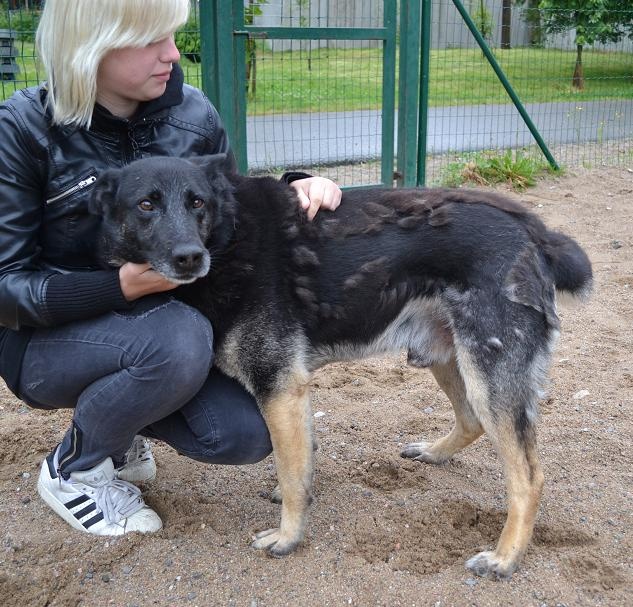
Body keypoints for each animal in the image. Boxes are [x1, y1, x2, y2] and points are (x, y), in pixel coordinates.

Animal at [89, 154, 592, 579]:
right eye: (146, 205)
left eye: (197, 202)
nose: (190, 257)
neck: (229, 233)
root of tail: (535, 232)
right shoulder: (291, 392)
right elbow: (300, 460)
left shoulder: (279, 387)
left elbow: (292, 473)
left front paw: (288, 536)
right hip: (450, 356)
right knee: (471, 421)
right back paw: (435, 453)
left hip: (488, 374)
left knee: (528, 476)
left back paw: (505, 558)